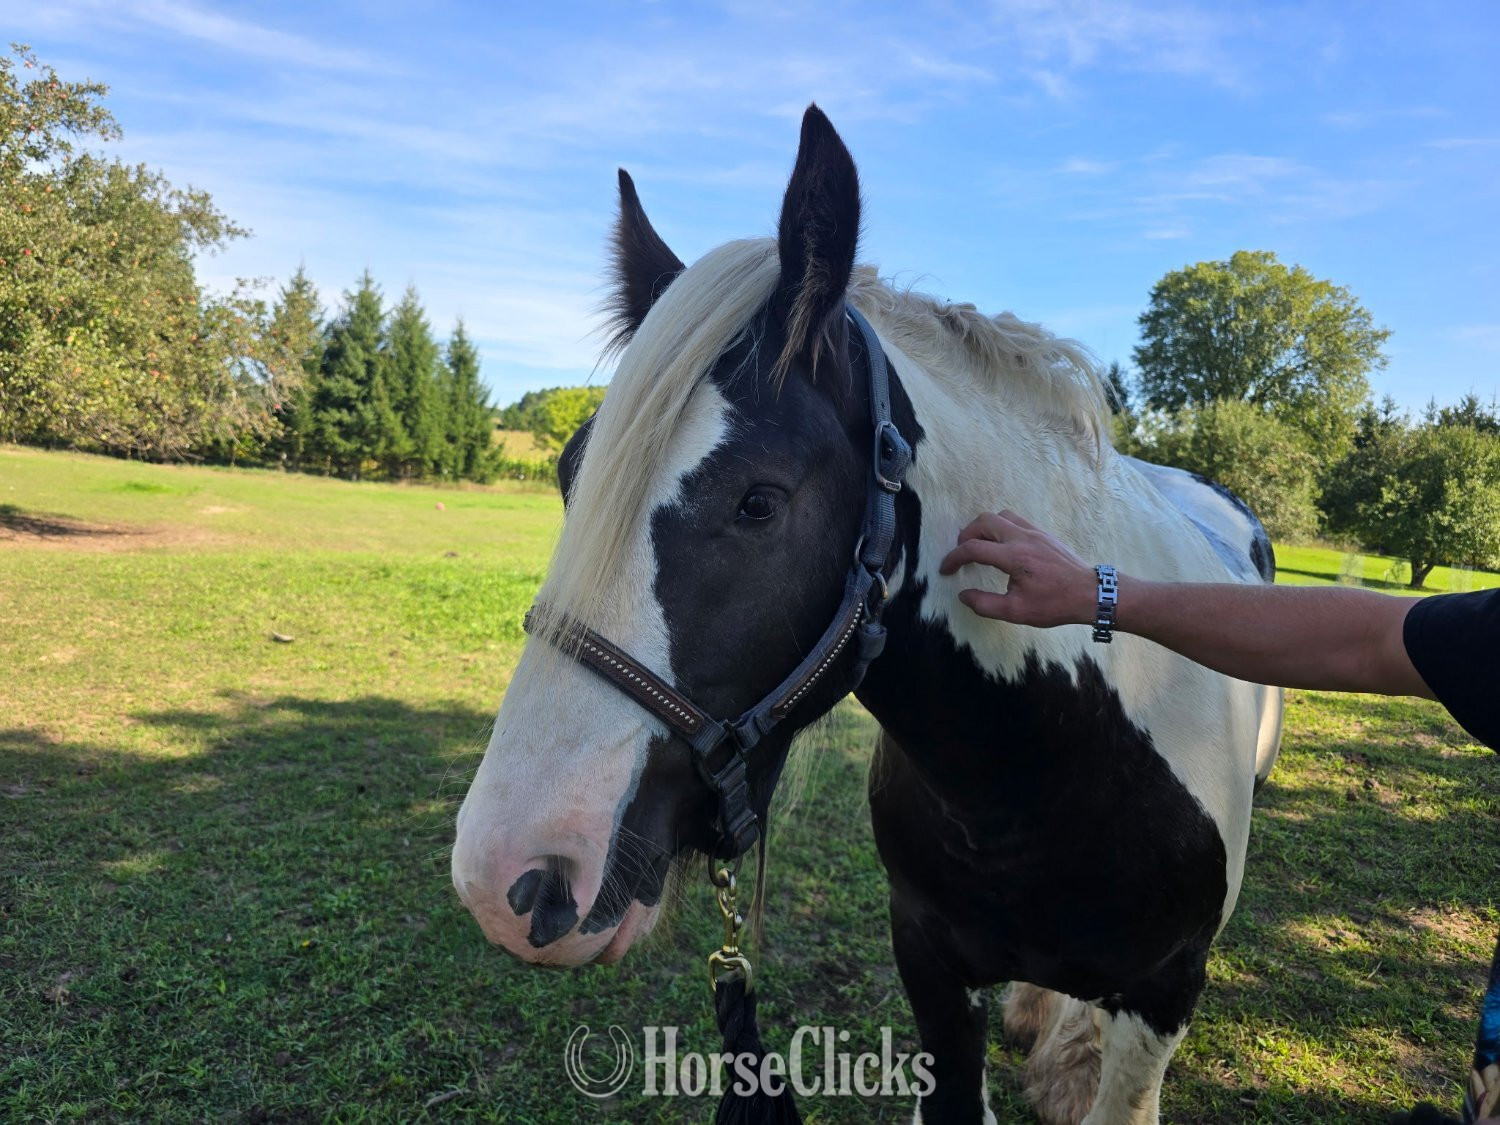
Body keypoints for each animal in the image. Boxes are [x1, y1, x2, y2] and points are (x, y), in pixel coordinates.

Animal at [452, 105, 1283, 1124]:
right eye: (570, 474)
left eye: (759, 502)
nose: (509, 876)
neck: (1041, 767)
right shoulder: (926, 956)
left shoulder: (1167, 990)